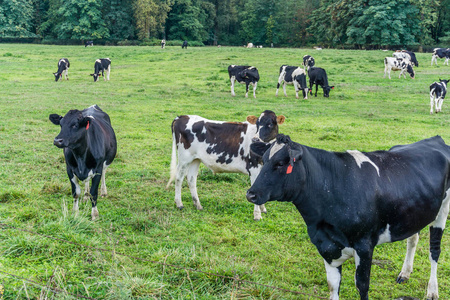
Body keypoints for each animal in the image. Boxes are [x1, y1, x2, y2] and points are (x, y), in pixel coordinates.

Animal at [248, 134, 450, 300]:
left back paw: (432, 291)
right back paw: (405, 273)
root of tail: (435, 139)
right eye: (264, 160)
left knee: (434, 251)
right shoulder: (326, 247)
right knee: (413, 239)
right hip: (415, 212)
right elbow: (332, 286)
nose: (251, 194)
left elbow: (362, 286)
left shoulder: (364, 245)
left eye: (281, 163)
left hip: (443, 210)